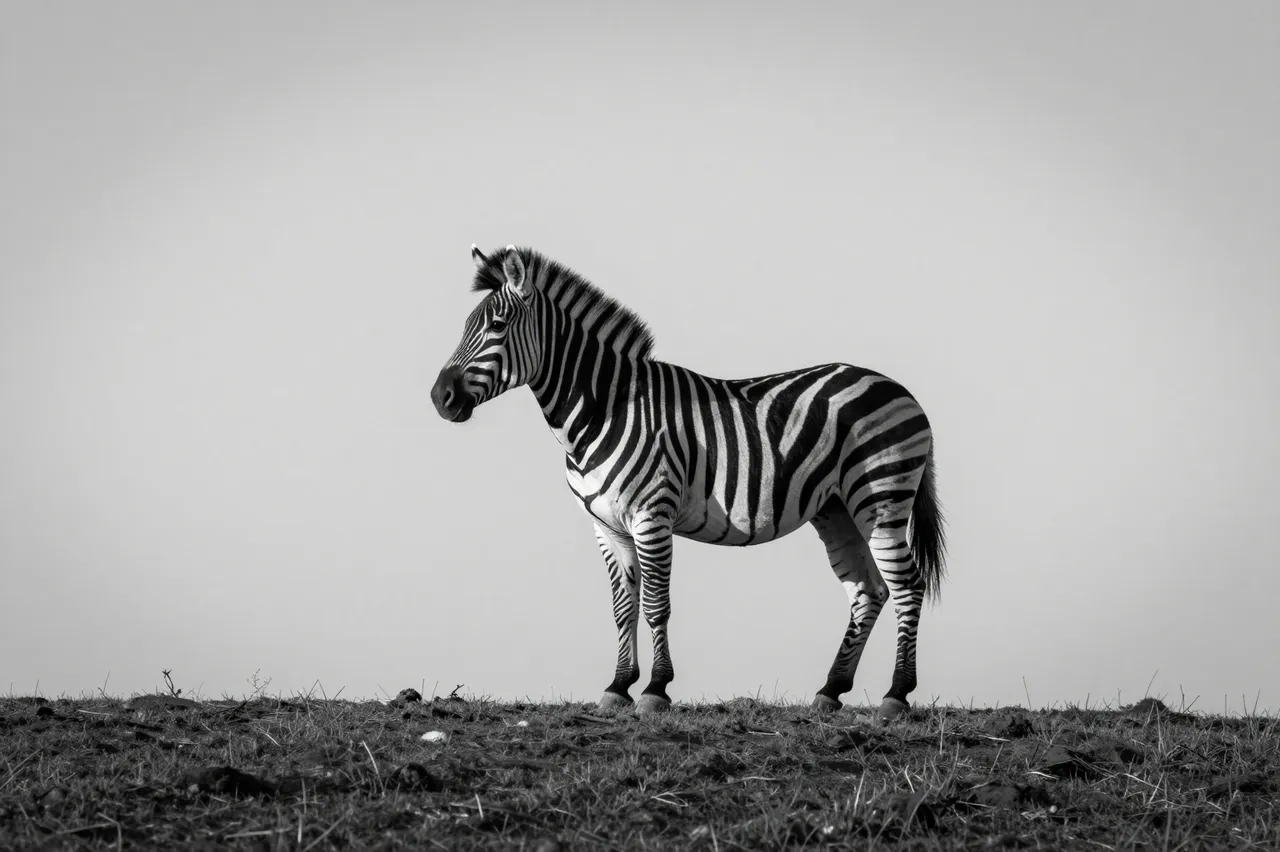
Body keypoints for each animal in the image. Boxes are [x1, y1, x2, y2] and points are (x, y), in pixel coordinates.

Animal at [431, 245, 947, 720]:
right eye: (465, 326)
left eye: (497, 326)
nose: (440, 397)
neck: (604, 409)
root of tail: (899, 389)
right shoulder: (607, 527)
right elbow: (623, 607)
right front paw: (618, 686)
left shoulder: (651, 515)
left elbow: (656, 604)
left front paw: (656, 690)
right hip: (837, 509)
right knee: (868, 591)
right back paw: (830, 691)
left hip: (881, 497)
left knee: (907, 586)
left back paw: (896, 696)